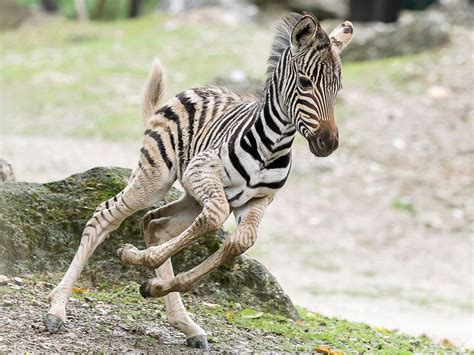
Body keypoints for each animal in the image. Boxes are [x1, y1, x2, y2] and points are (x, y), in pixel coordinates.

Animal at [44, 12, 354, 350]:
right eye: (305, 83)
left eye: (338, 87)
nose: (328, 143)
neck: (274, 145)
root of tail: (185, 93)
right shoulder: (202, 171)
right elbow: (216, 218)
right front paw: (135, 257)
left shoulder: (259, 200)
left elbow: (240, 242)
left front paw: (153, 282)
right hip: (156, 180)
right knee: (106, 215)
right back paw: (57, 308)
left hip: (191, 198)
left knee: (157, 225)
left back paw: (184, 322)